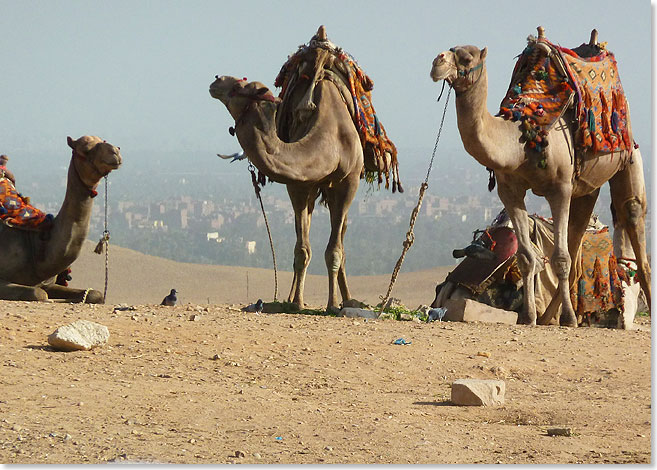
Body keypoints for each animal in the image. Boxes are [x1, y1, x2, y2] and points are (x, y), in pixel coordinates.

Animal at [0, 135, 122, 304]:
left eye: (102, 141)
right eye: (85, 150)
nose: (115, 151)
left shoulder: (48, 283)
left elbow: (95, 294)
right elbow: (39, 294)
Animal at [428, 25, 648, 326]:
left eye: (467, 57)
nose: (437, 63)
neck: (521, 140)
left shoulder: (560, 188)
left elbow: (559, 259)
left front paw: (565, 317)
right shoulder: (509, 191)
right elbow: (527, 258)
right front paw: (530, 316)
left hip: (628, 158)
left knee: (634, 224)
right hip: (587, 190)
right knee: (577, 247)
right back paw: (549, 316)